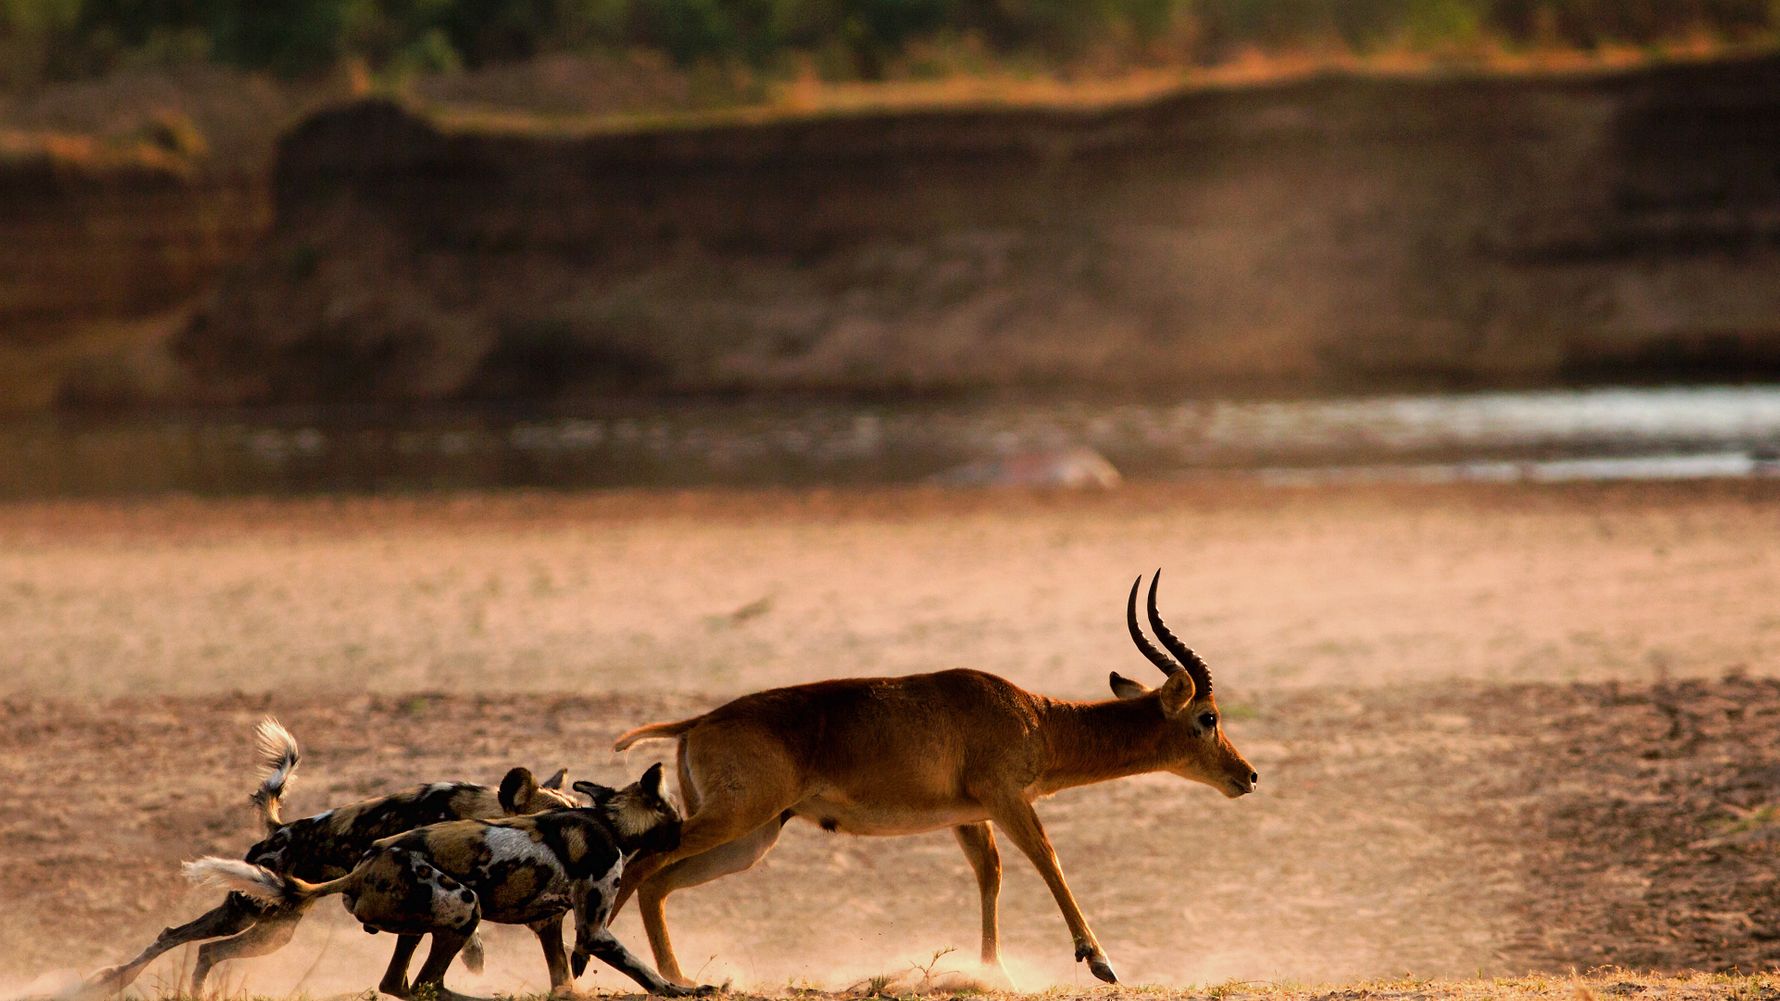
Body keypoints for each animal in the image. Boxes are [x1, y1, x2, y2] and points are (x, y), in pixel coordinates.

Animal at [610, 570, 1256, 985]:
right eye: (1207, 717)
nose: (1247, 776)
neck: (1035, 717)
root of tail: (698, 721)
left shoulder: (971, 817)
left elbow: (991, 876)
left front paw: (995, 972)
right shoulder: (1008, 800)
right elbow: (1048, 860)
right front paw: (1099, 962)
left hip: (752, 838)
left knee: (657, 883)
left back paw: (676, 978)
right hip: (736, 819)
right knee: (639, 865)